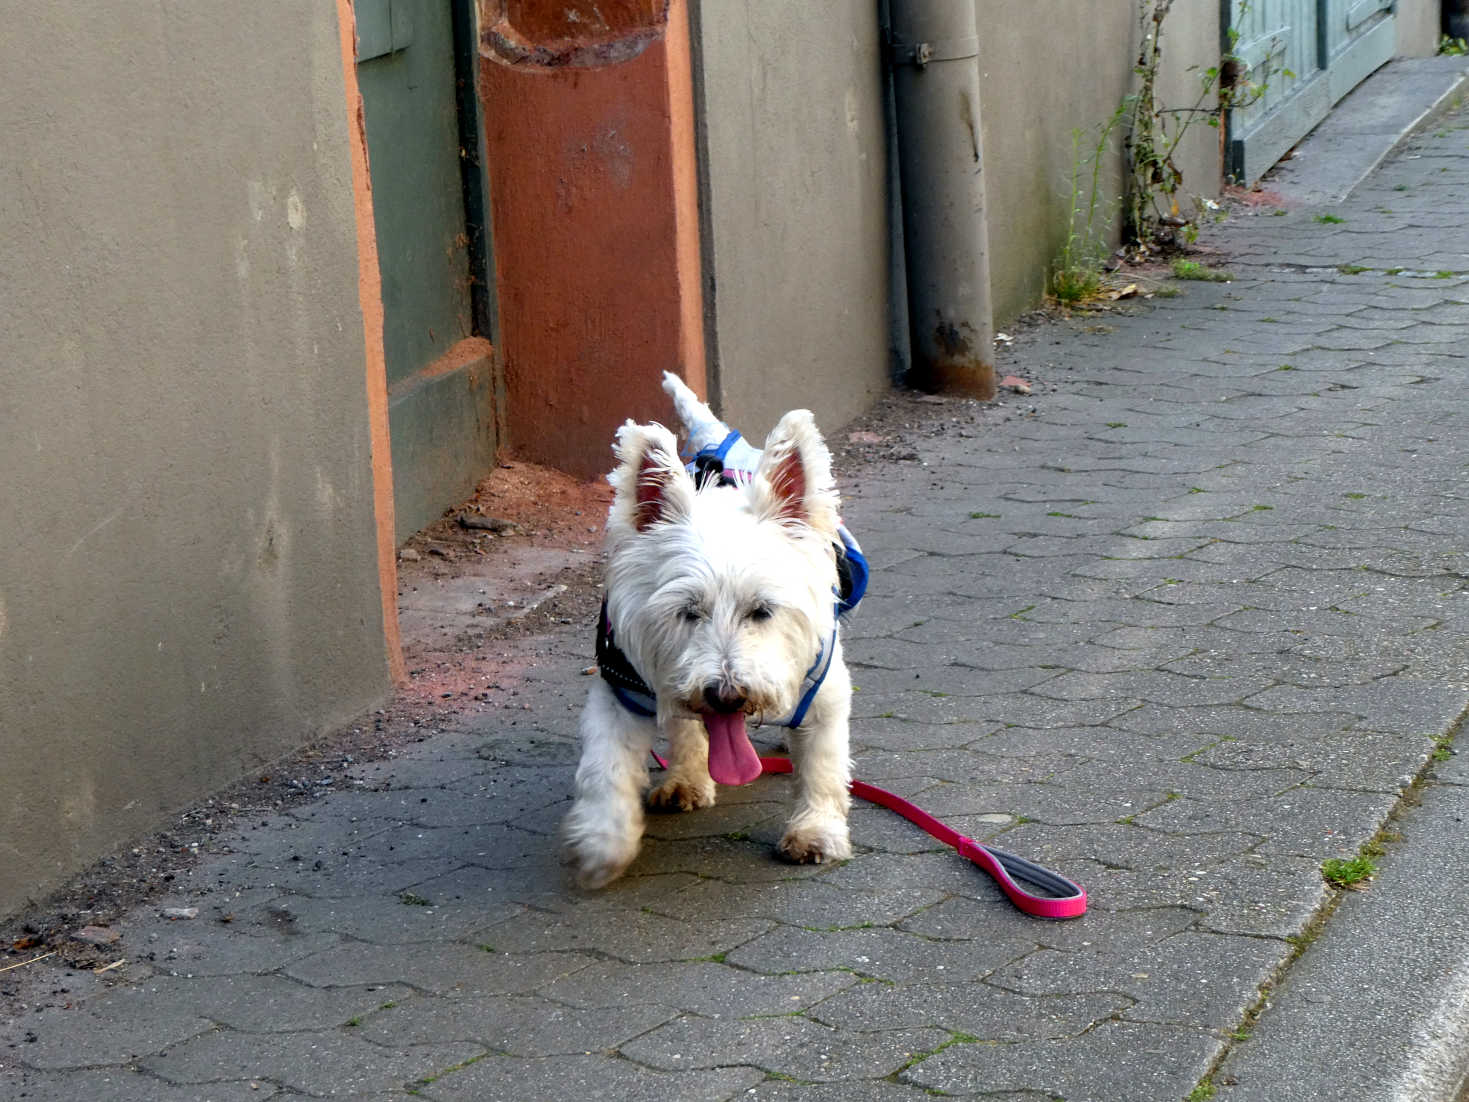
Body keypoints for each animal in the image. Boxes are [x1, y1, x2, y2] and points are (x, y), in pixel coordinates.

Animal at [558, 376, 857, 893]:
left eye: (762, 610)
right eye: (687, 612)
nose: (727, 695)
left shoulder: (825, 688)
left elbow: (822, 762)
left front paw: (815, 831)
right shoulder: (621, 687)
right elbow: (605, 768)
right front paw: (601, 843)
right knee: (686, 724)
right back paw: (687, 779)